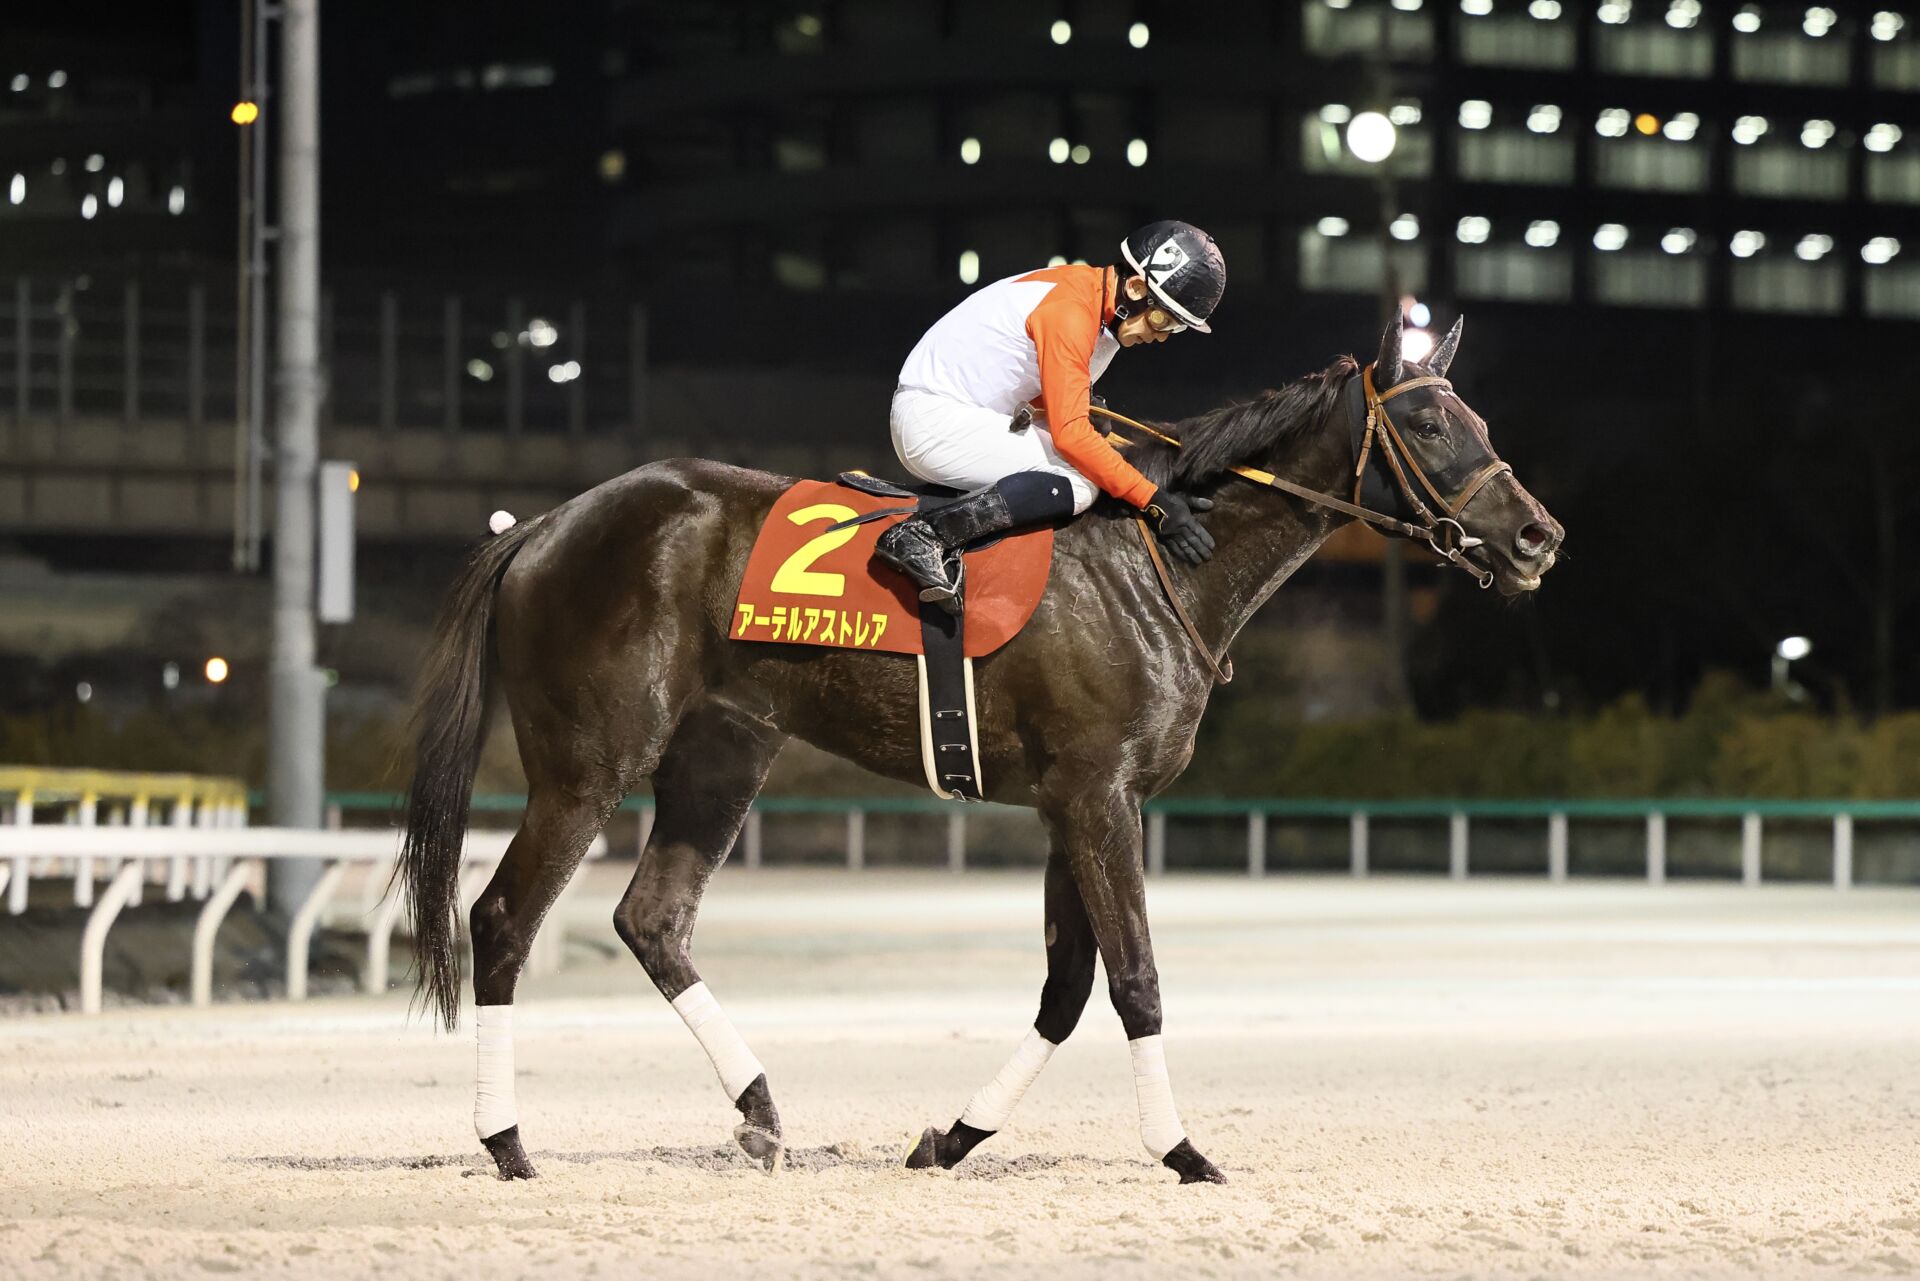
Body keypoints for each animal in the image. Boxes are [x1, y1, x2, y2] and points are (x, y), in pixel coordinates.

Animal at [393, 311, 1559, 1183]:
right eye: (1434, 425)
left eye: (1474, 415)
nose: (1538, 536)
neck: (1156, 563)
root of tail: (541, 525)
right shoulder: (1095, 795)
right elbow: (1134, 979)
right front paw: (1182, 1150)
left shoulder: (1079, 799)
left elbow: (1067, 987)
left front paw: (953, 1137)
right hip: (588, 764)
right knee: (502, 920)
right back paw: (507, 1141)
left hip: (725, 751)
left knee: (653, 920)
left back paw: (761, 1110)